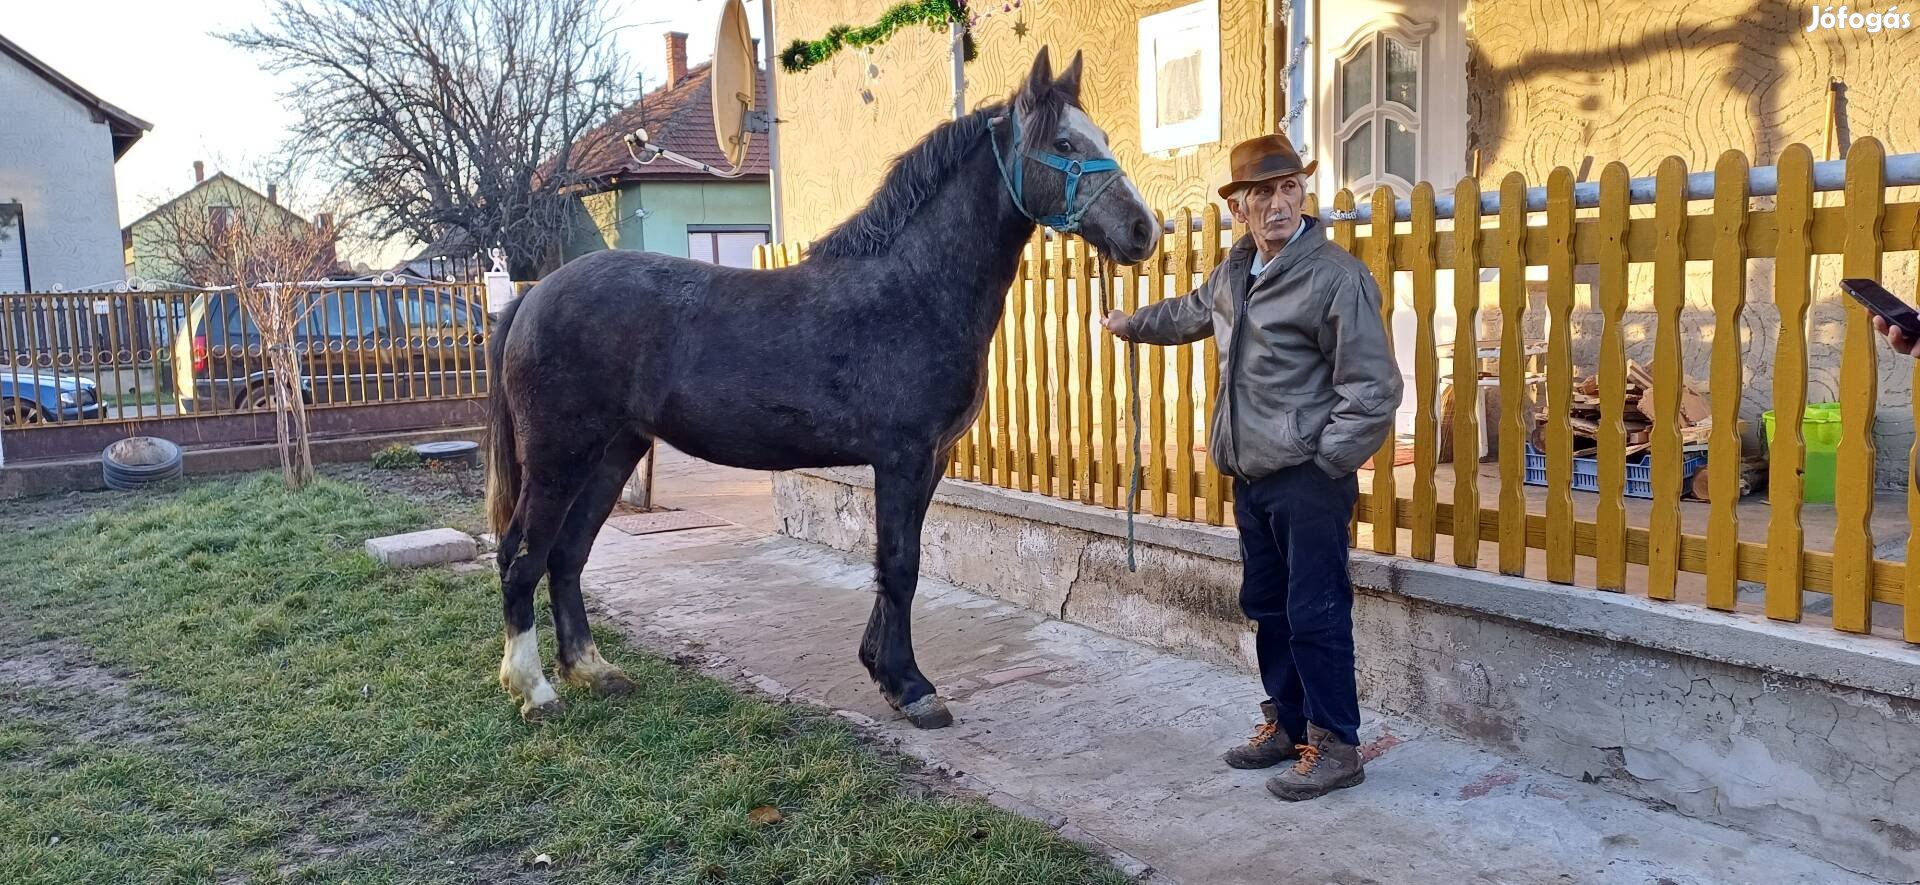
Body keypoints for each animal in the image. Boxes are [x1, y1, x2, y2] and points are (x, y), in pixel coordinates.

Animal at [487, 44, 1159, 729]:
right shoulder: (902, 458)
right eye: (1064, 143)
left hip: (615, 450)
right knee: (522, 556)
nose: (1142, 230)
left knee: (568, 554)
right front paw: (912, 688)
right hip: (559, 456)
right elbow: (902, 564)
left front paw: (884, 671)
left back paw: (593, 671)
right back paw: (534, 689)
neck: (914, 290)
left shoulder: (930, 460)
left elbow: (896, 564)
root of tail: (533, 297)